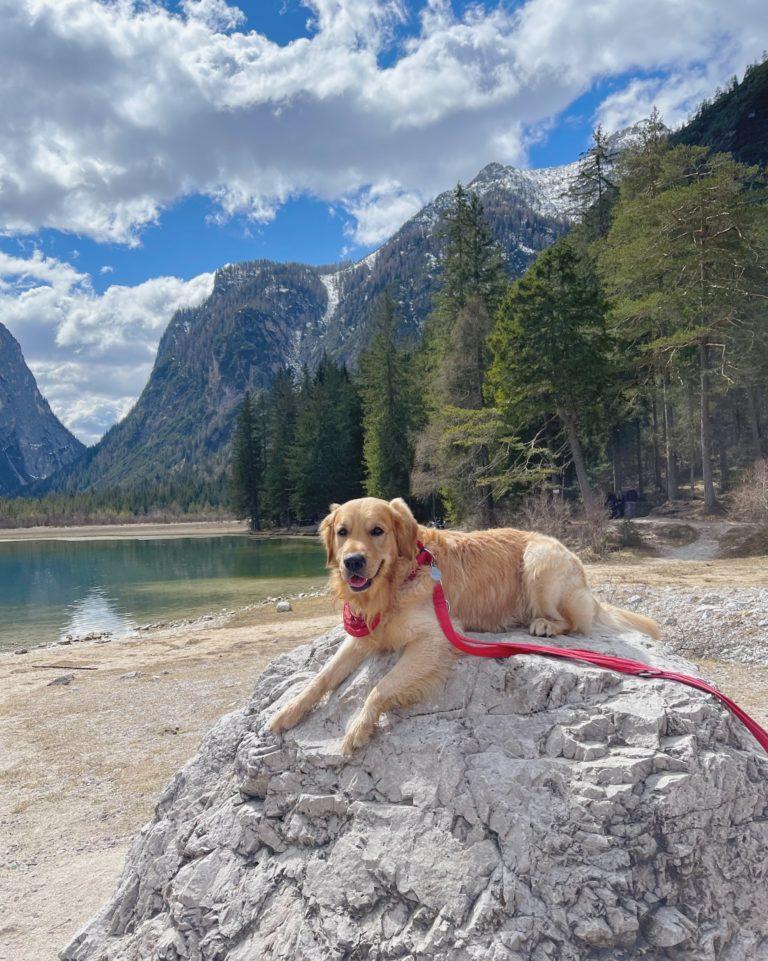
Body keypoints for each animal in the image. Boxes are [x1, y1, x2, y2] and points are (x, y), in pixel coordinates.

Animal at [270, 498, 660, 752]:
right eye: (342, 531)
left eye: (377, 531)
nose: (352, 561)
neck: (395, 583)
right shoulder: (365, 635)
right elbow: (321, 677)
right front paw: (288, 711)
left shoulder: (435, 638)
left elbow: (380, 687)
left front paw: (358, 729)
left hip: (539, 563)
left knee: (573, 623)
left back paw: (544, 625)